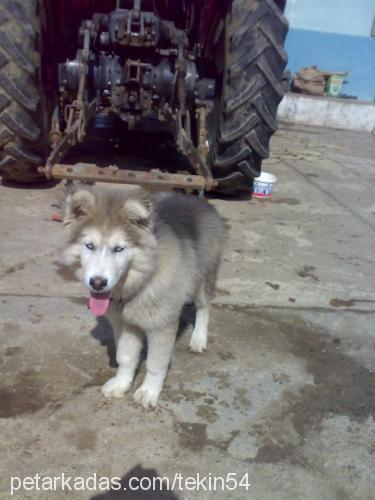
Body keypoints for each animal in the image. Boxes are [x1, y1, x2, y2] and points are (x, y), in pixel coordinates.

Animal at [62, 186, 226, 408]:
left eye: (119, 249)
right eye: (89, 246)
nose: (98, 283)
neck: (139, 282)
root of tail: (198, 200)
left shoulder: (161, 325)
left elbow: (155, 364)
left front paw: (149, 391)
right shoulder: (125, 323)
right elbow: (125, 357)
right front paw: (121, 383)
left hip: (203, 276)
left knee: (204, 307)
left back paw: (199, 338)